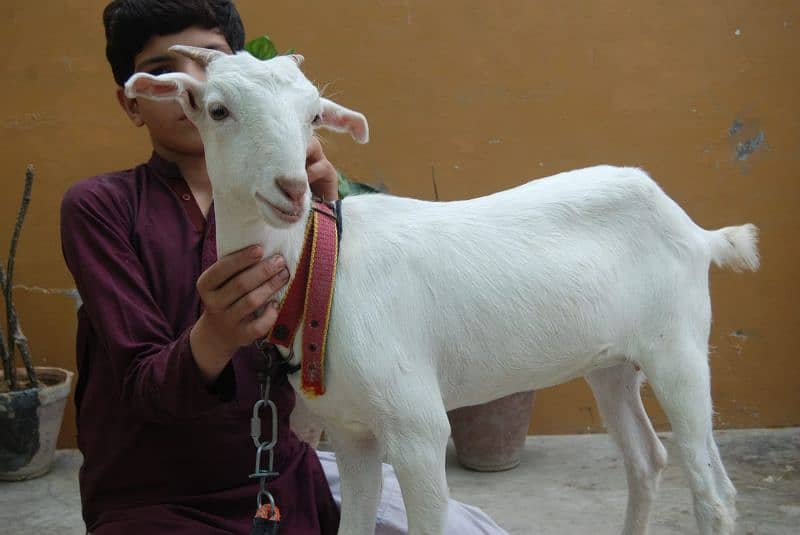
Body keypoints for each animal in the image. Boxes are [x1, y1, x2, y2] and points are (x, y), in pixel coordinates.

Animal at [125, 49, 756, 535]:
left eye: (312, 116)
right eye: (217, 109)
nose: (291, 189)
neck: (323, 271)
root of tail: (695, 232)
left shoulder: (416, 428)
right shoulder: (353, 434)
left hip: (677, 347)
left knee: (715, 490)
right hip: (611, 363)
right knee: (647, 461)